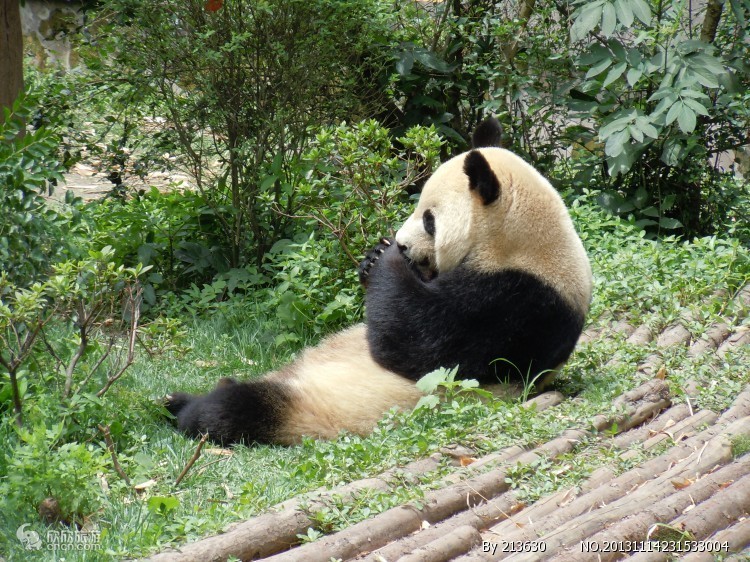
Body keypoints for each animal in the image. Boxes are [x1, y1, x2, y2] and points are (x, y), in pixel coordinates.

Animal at [164, 117, 592, 442]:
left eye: (429, 219)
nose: (402, 243)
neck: (521, 246)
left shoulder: (516, 305)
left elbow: (419, 345)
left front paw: (386, 259)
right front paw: (373, 258)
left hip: (314, 407)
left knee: (237, 411)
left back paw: (183, 408)